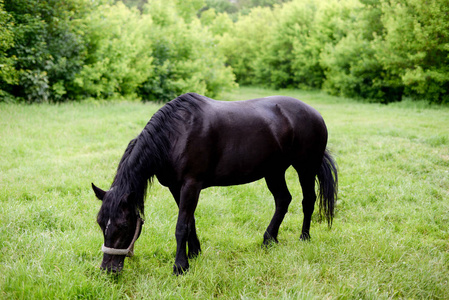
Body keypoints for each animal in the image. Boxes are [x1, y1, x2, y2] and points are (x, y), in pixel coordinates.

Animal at [91, 92, 336, 276]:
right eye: (101, 223)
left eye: (124, 225)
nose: (108, 270)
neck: (175, 135)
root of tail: (314, 113)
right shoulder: (176, 187)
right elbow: (190, 221)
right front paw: (194, 253)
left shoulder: (191, 184)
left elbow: (181, 226)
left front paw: (180, 267)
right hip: (274, 172)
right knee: (283, 200)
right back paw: (269, 239)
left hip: (305, 167)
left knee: (308, 200)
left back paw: (304, 237)